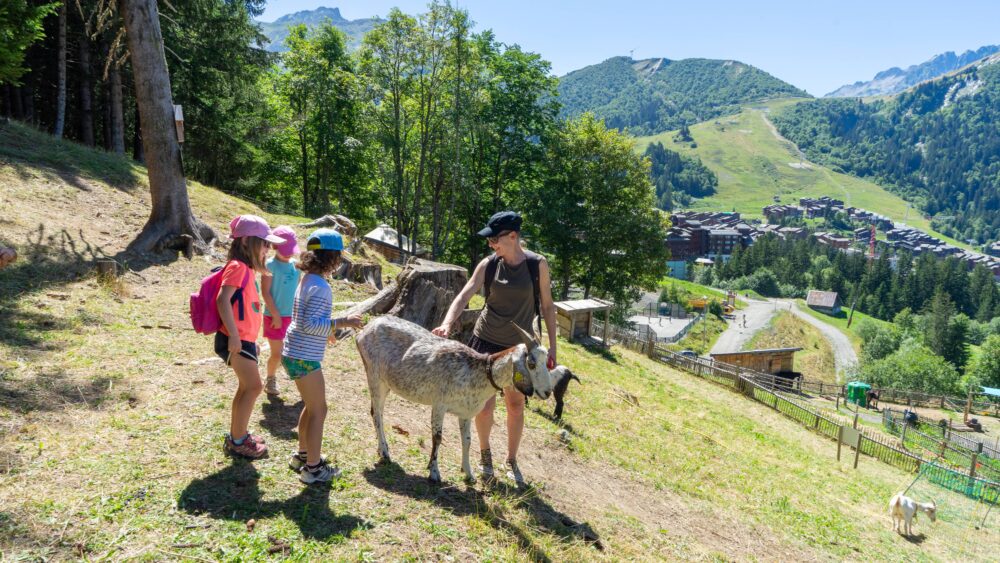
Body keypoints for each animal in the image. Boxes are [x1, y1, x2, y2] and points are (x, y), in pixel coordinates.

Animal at [354, 316, 556, 482]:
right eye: (531, 363)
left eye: (547, 363)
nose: (547, 392)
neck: (477, 372)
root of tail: (364, 330)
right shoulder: (439, 405)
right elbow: (437, 437)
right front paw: (434, 472)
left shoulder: (466, 413)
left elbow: (467, 440)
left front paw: (468, 473)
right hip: (374, 377)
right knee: (376, 414)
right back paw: (385, 453)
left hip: (386, 383)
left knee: (377, 412)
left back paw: (382, 449)